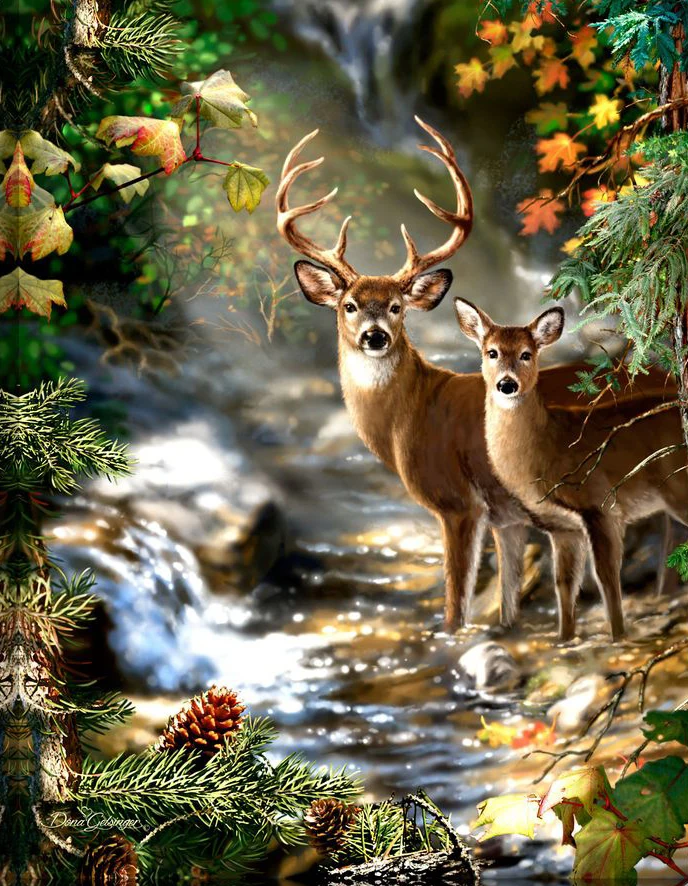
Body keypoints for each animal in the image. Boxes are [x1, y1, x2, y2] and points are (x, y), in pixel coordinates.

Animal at [454, 298, 688, 641]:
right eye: (491, 352)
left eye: (527, 354)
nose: (507, 384)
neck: (549, 448)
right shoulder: (562, 527)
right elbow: (564, 584)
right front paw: (565, 638)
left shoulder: (601, 505)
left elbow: (606, 577)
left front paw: (618, 636)